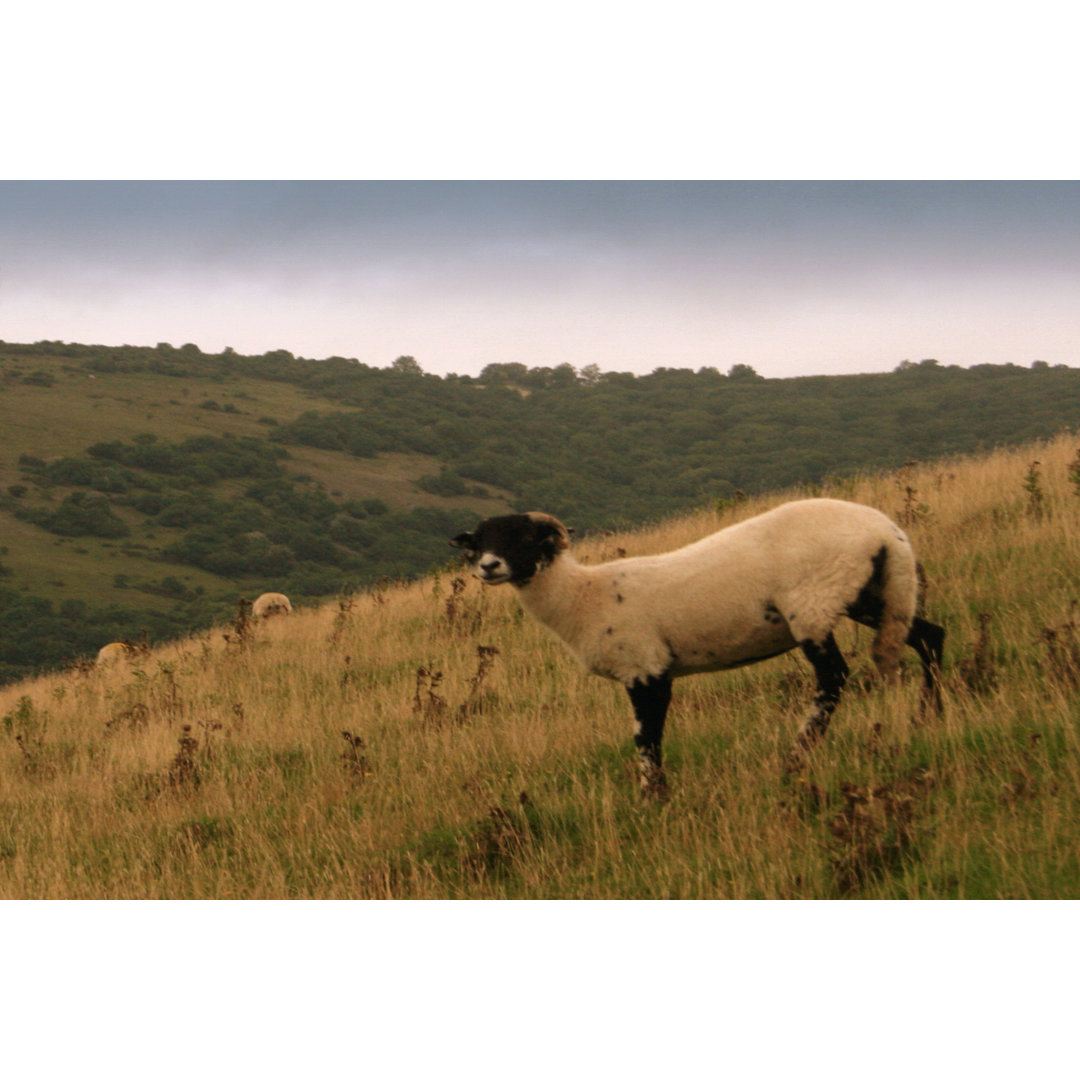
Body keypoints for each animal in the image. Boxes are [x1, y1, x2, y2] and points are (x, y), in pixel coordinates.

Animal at [453, 501, 946, 799]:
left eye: (523, 538)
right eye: (479, 541)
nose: (488, 567)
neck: (582, 597)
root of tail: (887, 530)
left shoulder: (645, 668)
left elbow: (646, 738)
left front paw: (652, 798)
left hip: (814, 602)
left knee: (834, 679)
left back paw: (796, 757)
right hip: (872, 593)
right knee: (929, 636)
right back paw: (930, 716)